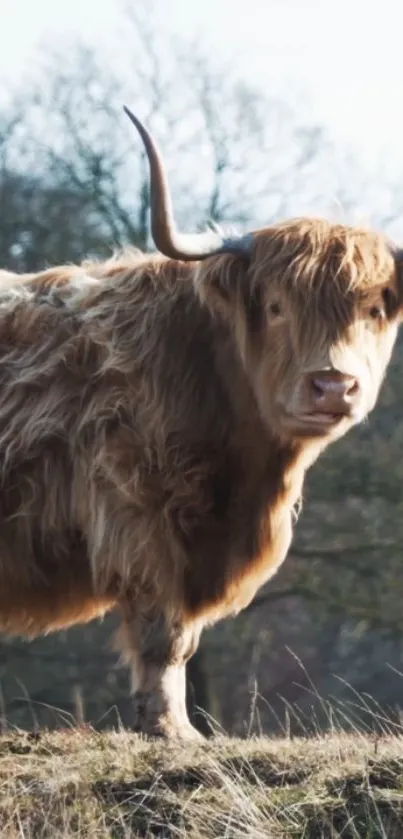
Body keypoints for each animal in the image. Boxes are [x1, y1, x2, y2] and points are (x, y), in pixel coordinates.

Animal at [0, 106, 400, 740]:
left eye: (375, 309)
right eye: (276, 307)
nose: (333, 385)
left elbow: (182, 636)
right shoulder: (141, 514)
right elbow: (164, 635)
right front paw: (172, 728)